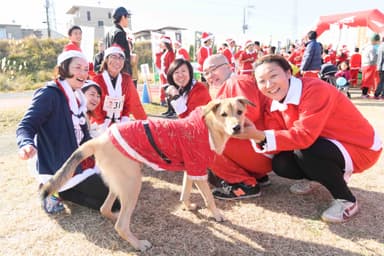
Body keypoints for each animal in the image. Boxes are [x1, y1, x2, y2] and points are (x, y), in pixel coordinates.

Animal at [39, 96, 255, 252]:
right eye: (224, 114)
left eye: (239, 112)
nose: (237, 127)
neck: (207, 127)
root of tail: (98, 140)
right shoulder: (198, 170)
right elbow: (209, 198)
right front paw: (217, 216)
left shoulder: (191, 169)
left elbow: (185, 192)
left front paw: (188, 206)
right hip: (133, 183)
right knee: (121, 225)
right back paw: (138, 244)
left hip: (120, 184)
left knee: (105, 208)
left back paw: (113, 217)